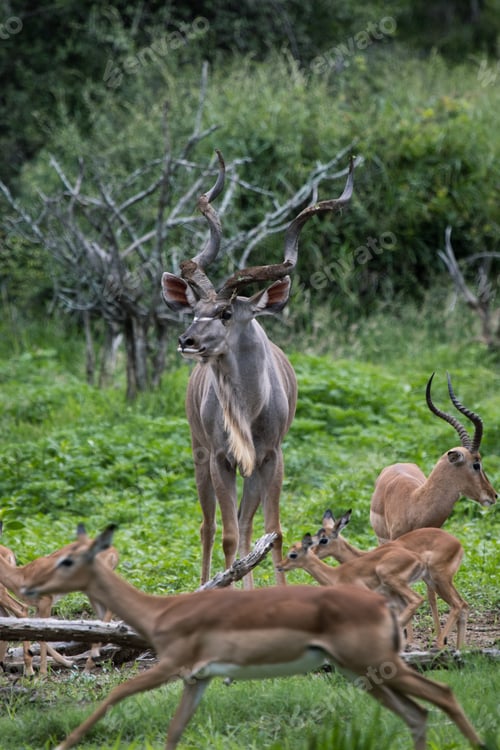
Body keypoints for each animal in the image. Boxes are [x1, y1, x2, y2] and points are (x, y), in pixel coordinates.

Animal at [20, 525, 486, 750]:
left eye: (68, 560)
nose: (30, 587)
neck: (160, 612)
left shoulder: (171, 666)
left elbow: (115, 694)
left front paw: (65, 743)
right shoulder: (197, 679)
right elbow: (173, 732)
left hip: (377, 662)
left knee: (442, 692)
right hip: (363, 673)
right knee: (418, 713)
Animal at [162, 150, 355, 587]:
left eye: (226, 312)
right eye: (195, 310)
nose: (187, 340)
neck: (249, 409)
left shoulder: (271, 456)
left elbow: (272, 531)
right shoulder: (220, 457)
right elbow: (229, 535)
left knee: (248, 525)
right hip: (199, 452)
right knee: (210, 525)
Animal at [316, 509, 468, 648]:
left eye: (324, 539)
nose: (312, 551)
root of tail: (458, 544)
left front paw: (408, 642)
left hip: (439, 579)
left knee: (457, 605)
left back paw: (440, 644)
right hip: (437, 582)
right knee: (463, 605)